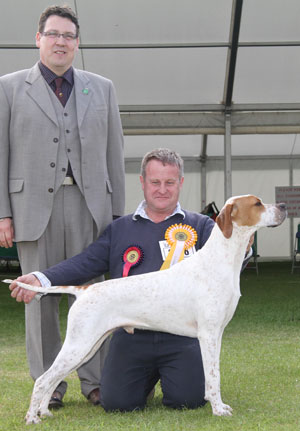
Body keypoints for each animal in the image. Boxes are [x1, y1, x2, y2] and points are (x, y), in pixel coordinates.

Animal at [4, 196, 286, 426]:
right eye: (258, 203)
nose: (283, 206)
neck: (221, 260)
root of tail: (84, 289)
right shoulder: (208, 334)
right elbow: (213, 378)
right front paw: (218, 410)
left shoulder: (216, 335)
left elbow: (214, 375)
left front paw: (220, 405)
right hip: (79, 344)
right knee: (43, 379)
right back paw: (32, 418)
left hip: (88, 347)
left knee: (52, 379)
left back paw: (44, 412)